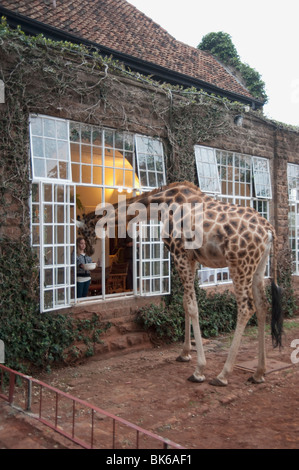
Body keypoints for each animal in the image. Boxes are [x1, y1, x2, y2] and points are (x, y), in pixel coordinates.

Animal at [77, 180, 284, 386]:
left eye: (82, 231)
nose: (88, 249)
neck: (161, 206)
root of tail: (269, 230)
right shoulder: (191, 259)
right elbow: (185, 302)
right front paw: (184, 353)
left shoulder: (179, 254)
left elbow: (192, 306)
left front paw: (199, 370)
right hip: (258, 266)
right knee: (262, 305)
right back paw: (259, 373)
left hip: (239, 264)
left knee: (246, 307)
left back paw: (223, 375)